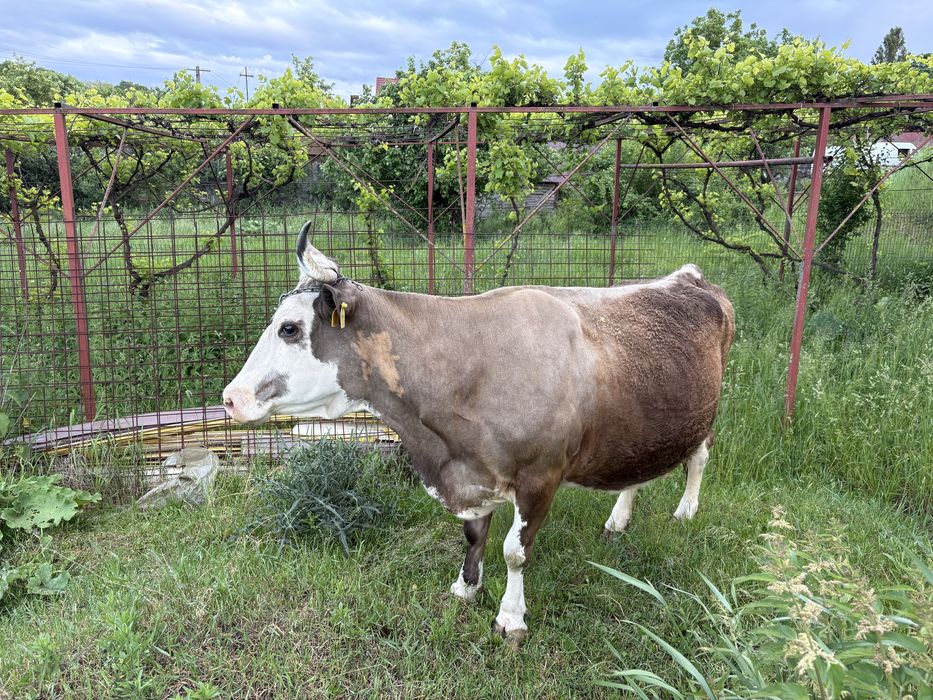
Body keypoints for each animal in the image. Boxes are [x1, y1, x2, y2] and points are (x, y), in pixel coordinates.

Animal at [223, 223, 736, 647]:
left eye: (289, 328)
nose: (230, 397)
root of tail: (689, 277)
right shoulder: (471, 470)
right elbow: (474, 534)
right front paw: (466, 586)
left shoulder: (540, 477)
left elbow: (515, 552)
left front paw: (510, 618)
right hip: (642, 425)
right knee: (638, 470)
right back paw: (619, 518)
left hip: (705, 413)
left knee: (700, 456)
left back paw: (686, 510)